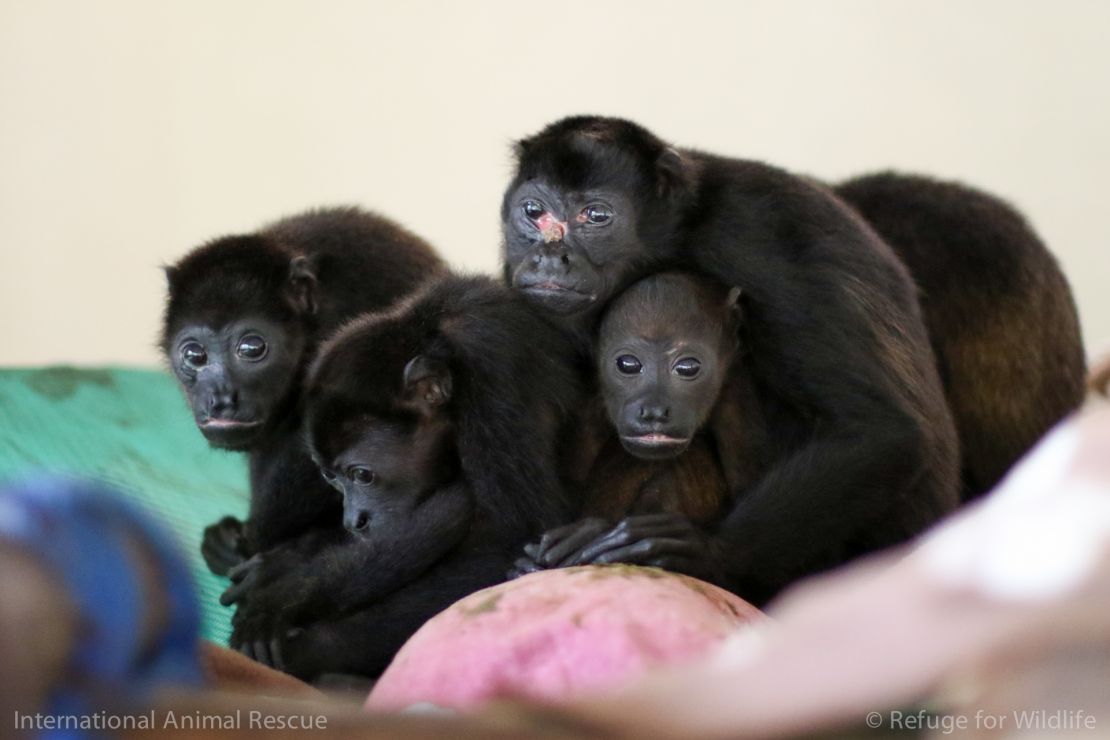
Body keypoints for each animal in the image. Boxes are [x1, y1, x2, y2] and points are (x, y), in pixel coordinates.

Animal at [216, 273, 586, 678]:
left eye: (362, 475)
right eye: (333, 479)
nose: (354, 520)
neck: (442, 342)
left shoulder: (497, 379)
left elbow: (512, 543)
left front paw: (299, 629)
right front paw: (285, 568)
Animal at [501, 116, 961, 604]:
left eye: (596, 216)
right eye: (533, 211)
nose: (551, 256)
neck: (681, 230)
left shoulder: (757, 239)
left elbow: (882, 429)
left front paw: (706, 550)